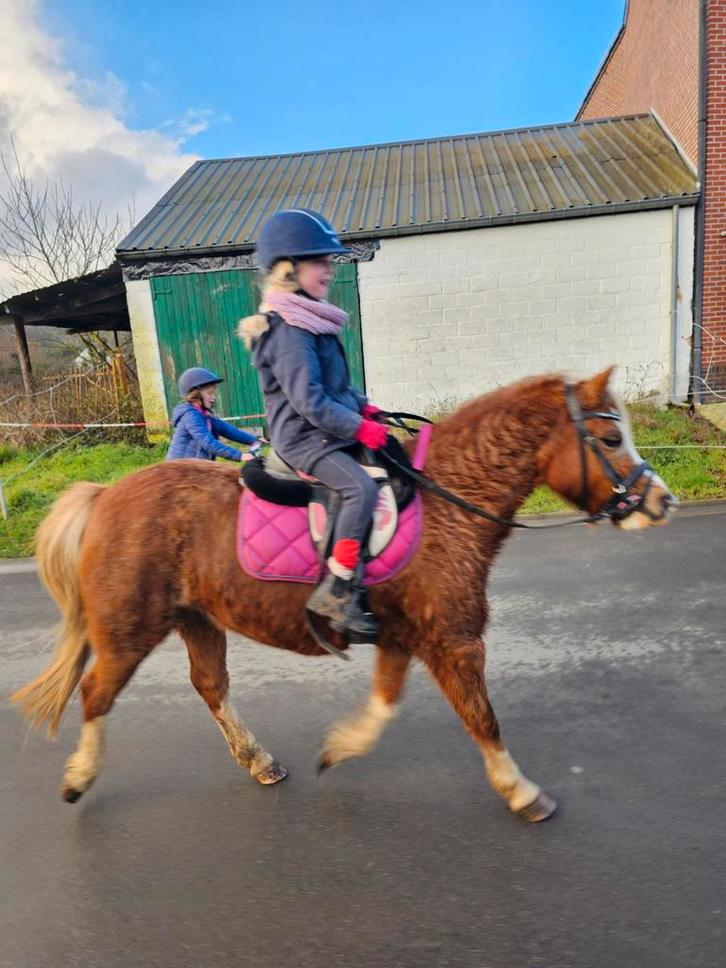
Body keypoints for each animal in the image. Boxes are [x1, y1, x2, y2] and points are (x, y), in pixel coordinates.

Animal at [11, 367, 675, 821]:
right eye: (610, 440)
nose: (661, 502)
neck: (447, 500)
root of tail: (105, 495)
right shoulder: (454, 640)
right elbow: (482, 718)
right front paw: (522, 791)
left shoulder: (406, 638)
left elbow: (384, 705)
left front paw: (338, 748)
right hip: (129, 628)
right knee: (96, 693)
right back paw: (78, 777)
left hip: (196, 619)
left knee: (210, 687)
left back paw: (259, 762)